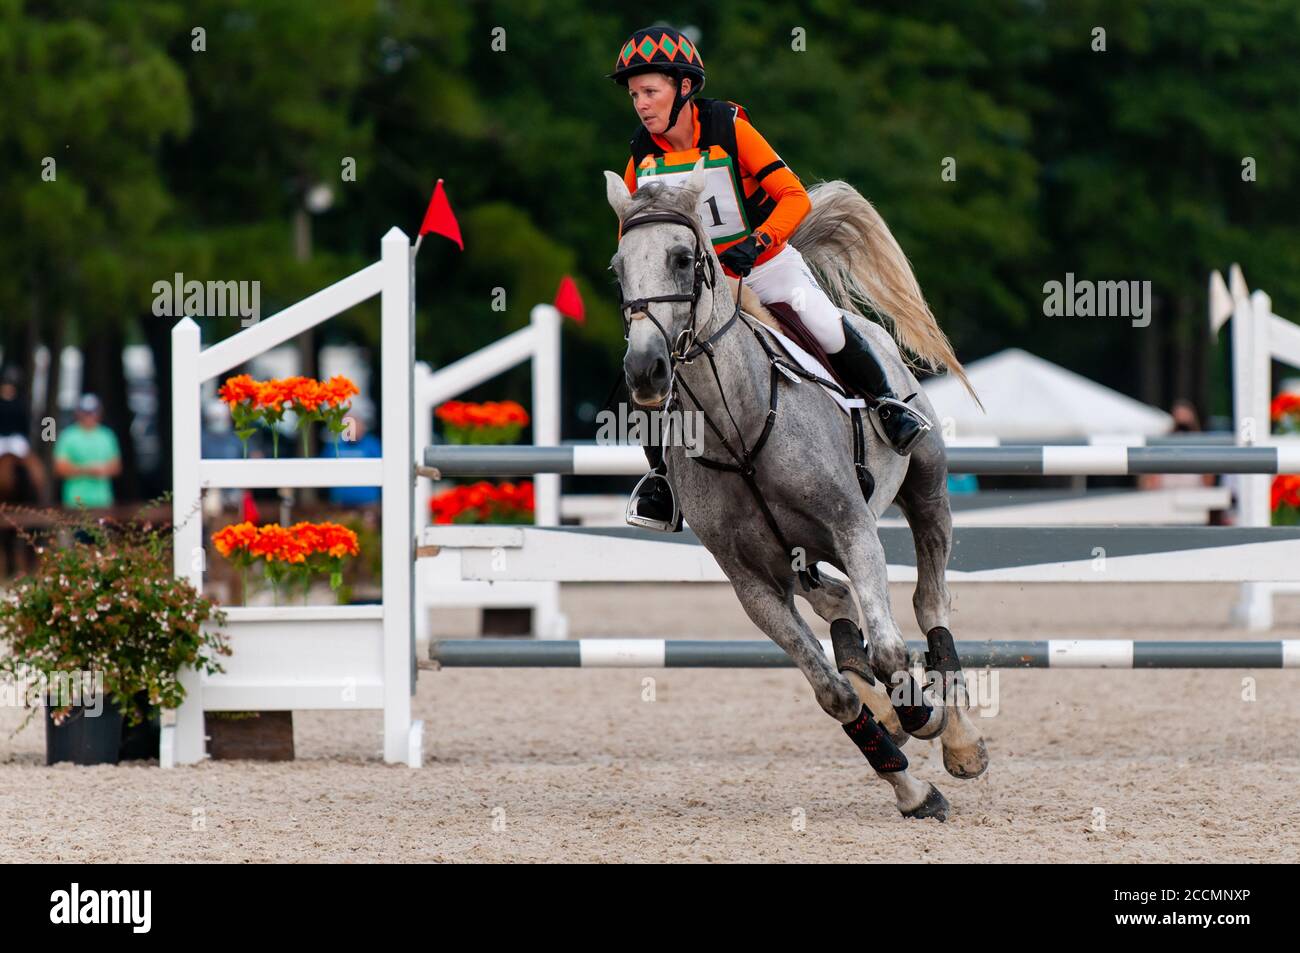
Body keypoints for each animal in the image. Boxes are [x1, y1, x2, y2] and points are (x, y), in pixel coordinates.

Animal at [603, 163, 987, 816]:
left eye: (682, 258)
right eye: (617, 268)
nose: (645, 371)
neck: (738, 428)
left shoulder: (852, 528)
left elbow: (890, 648)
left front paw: (920, 714)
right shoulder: (753, 581)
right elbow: (833, 695)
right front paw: (910, 785)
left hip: (926, 489)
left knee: (929, 602)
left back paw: (957, 739)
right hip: (798, 557)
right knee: (835, 601)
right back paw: (885, 705)